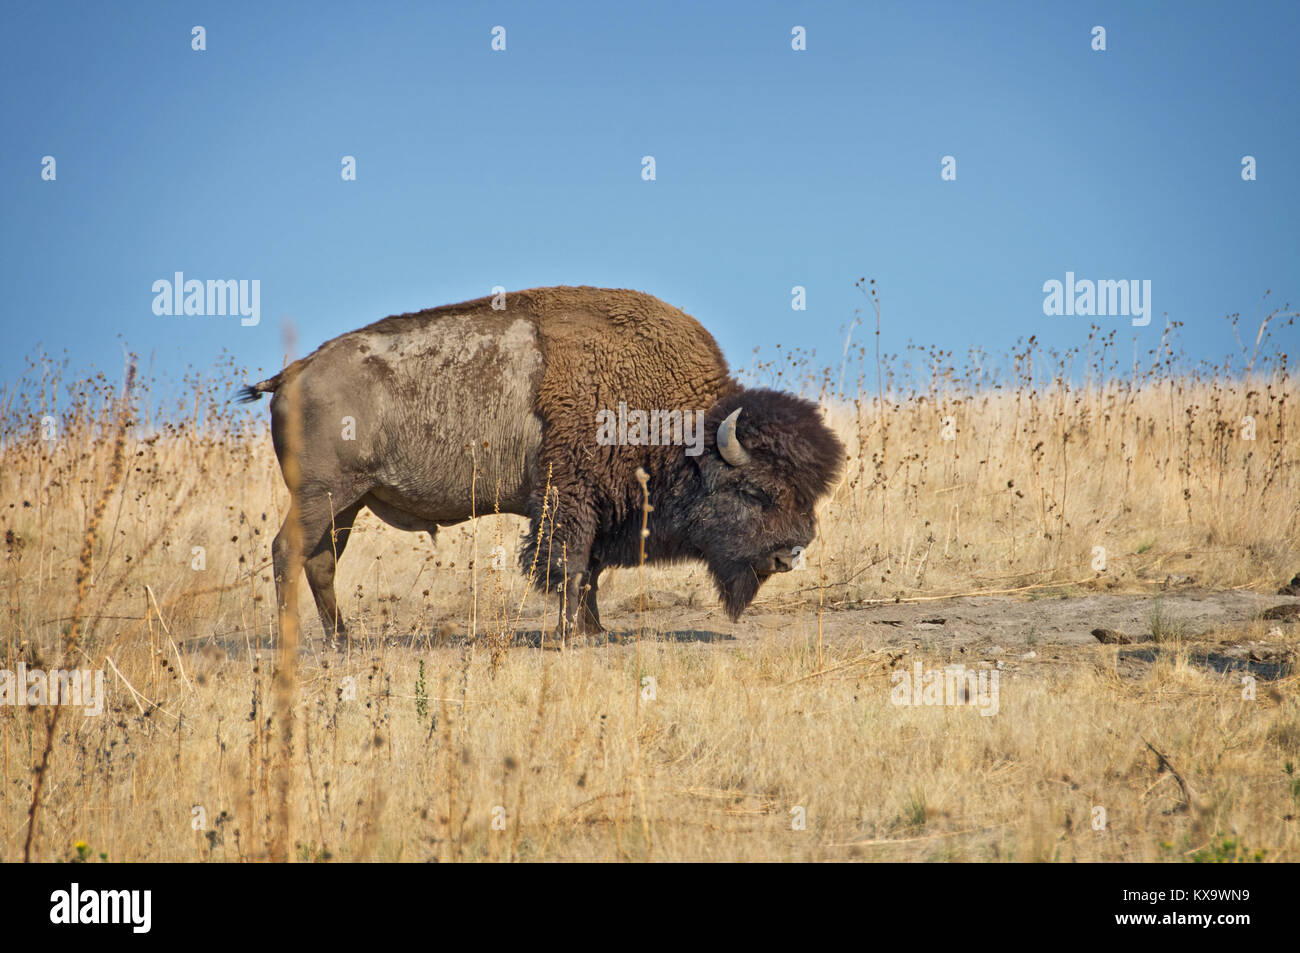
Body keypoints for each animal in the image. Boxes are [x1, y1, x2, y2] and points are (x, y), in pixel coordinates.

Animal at [239, 282, 847, 639]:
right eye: (755, 491)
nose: (791, 553)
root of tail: (294, 373)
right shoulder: (569, 497)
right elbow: (570, 564)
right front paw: (571, 634)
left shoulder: (599, 505)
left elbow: (592, 569)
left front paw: (594, 631)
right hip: (324, 495)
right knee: (288, 551)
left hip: (349, 502)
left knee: (321, 561)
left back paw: (343, 640)